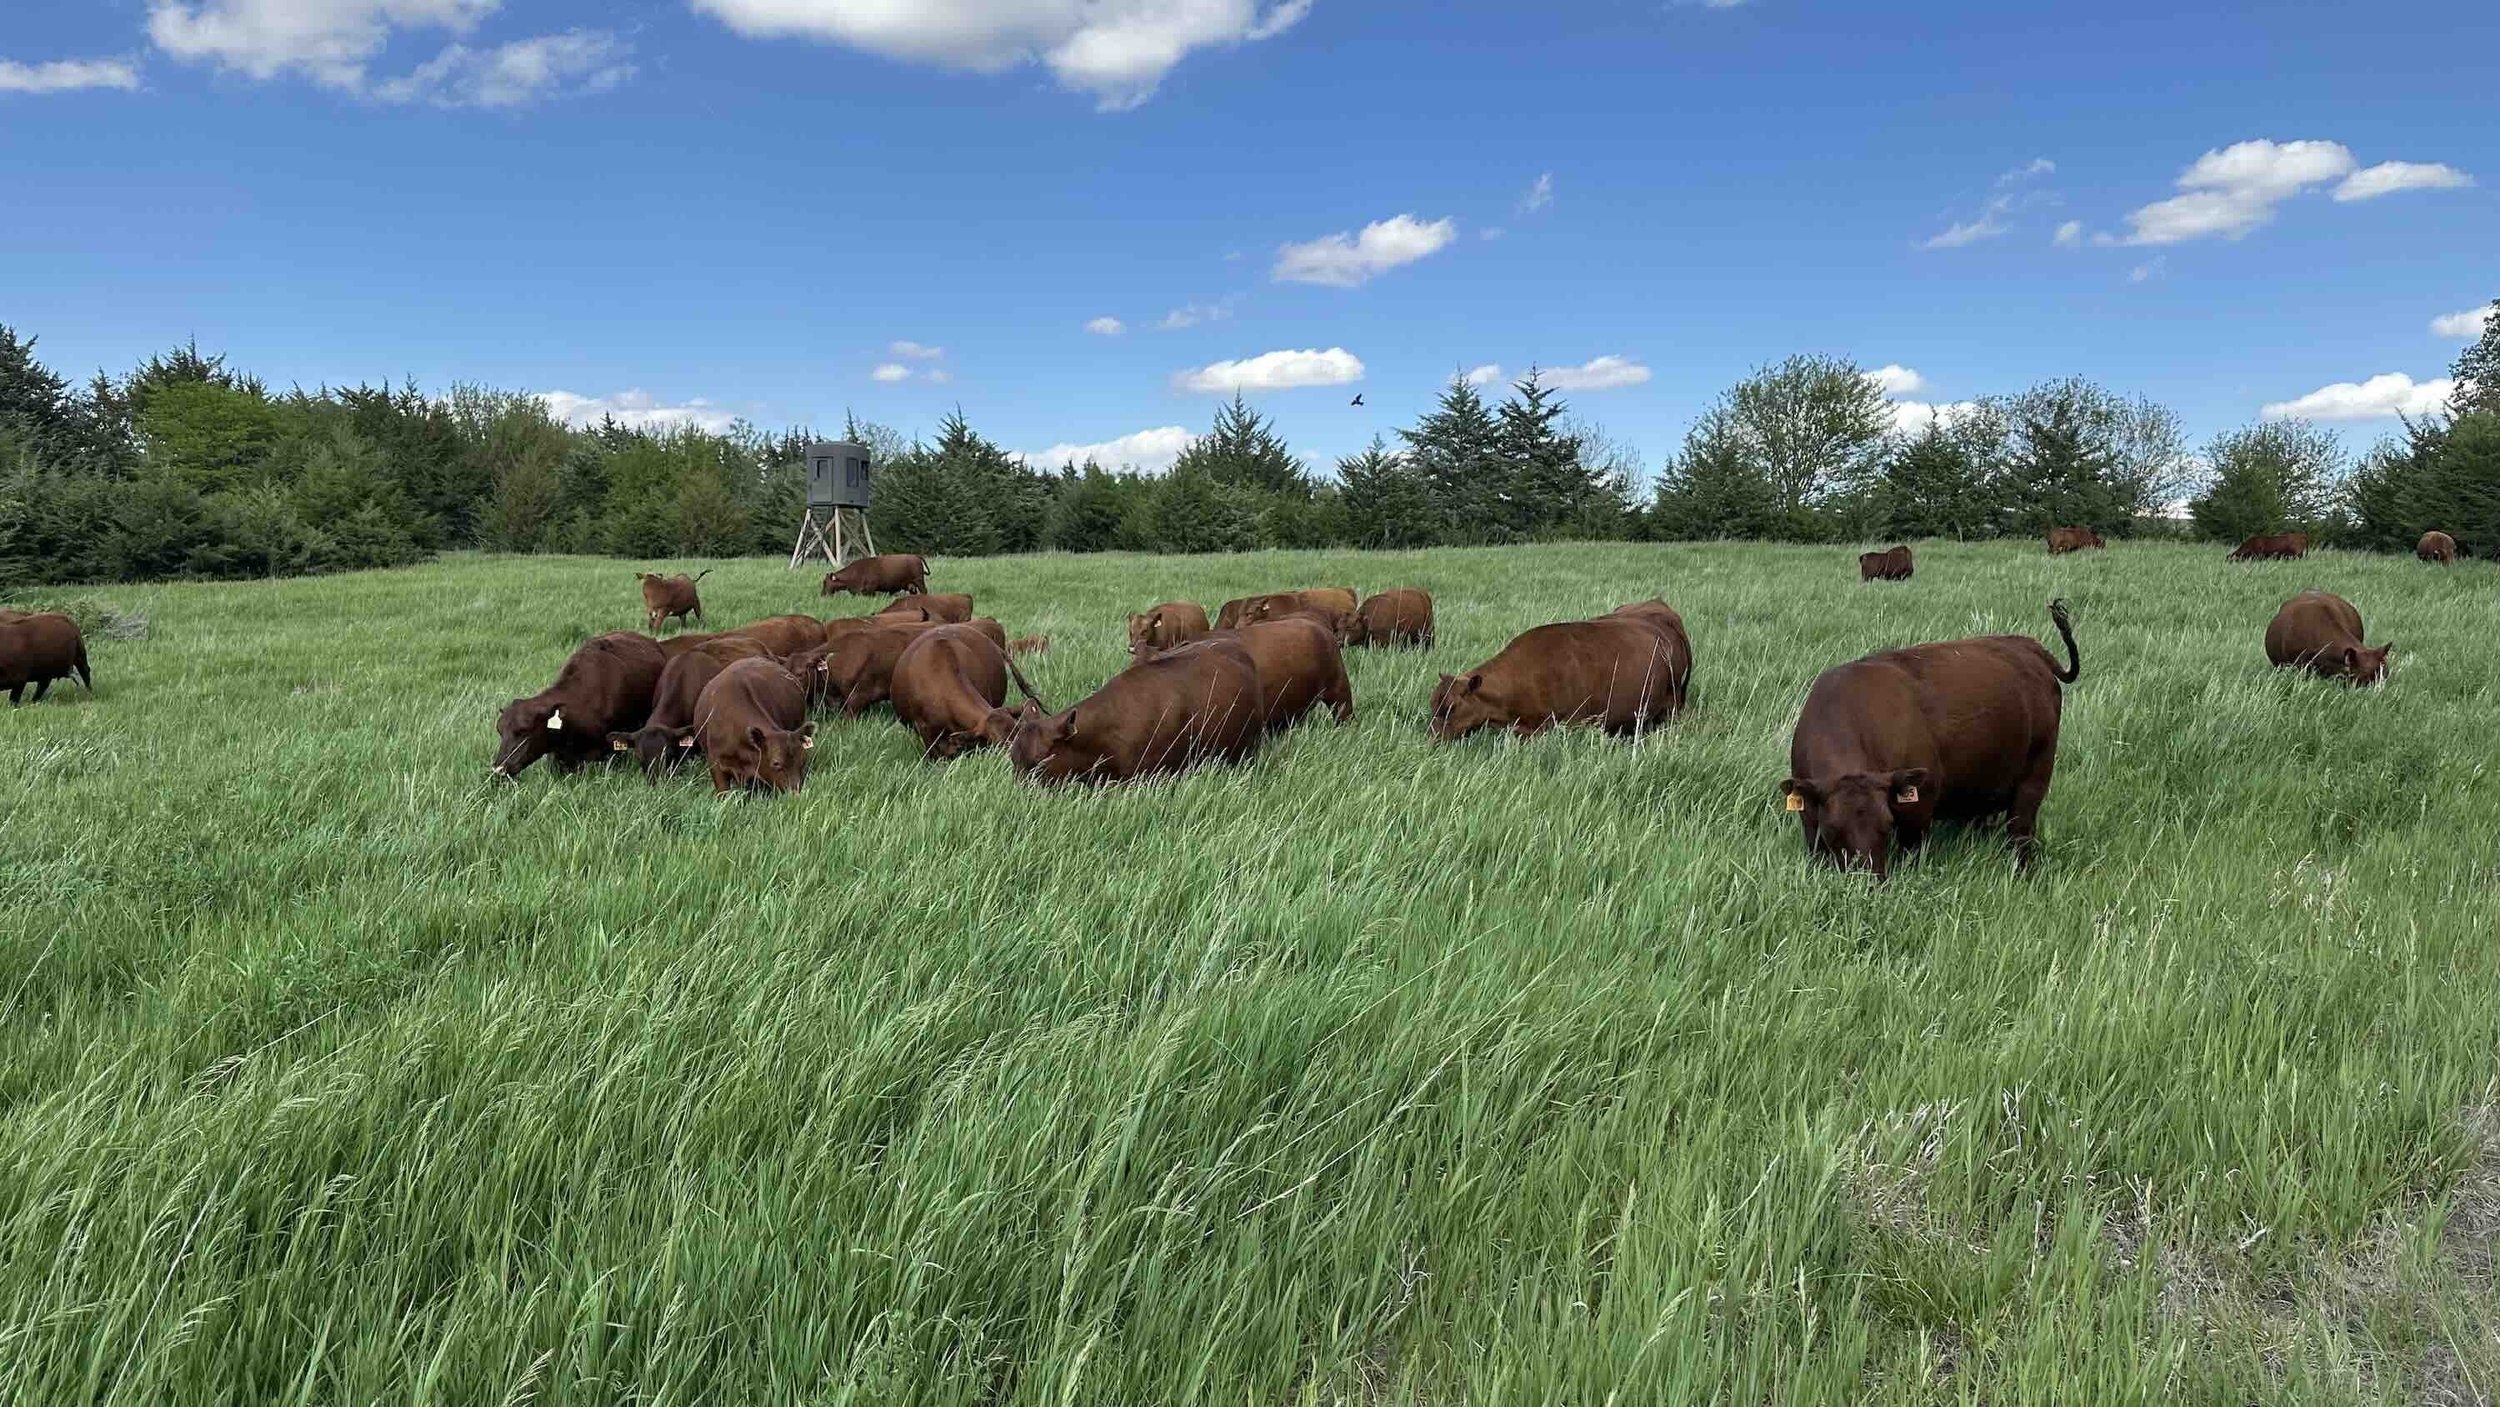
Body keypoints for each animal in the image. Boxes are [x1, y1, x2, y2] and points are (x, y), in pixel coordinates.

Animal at [1782, 600, 2080, 879]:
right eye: (1833, 828)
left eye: (1887, 825)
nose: (1870, 880)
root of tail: (2028, 647)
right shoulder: (1809, 816)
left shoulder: (1918, 807)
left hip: (2035, 775)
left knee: (2021, 831)